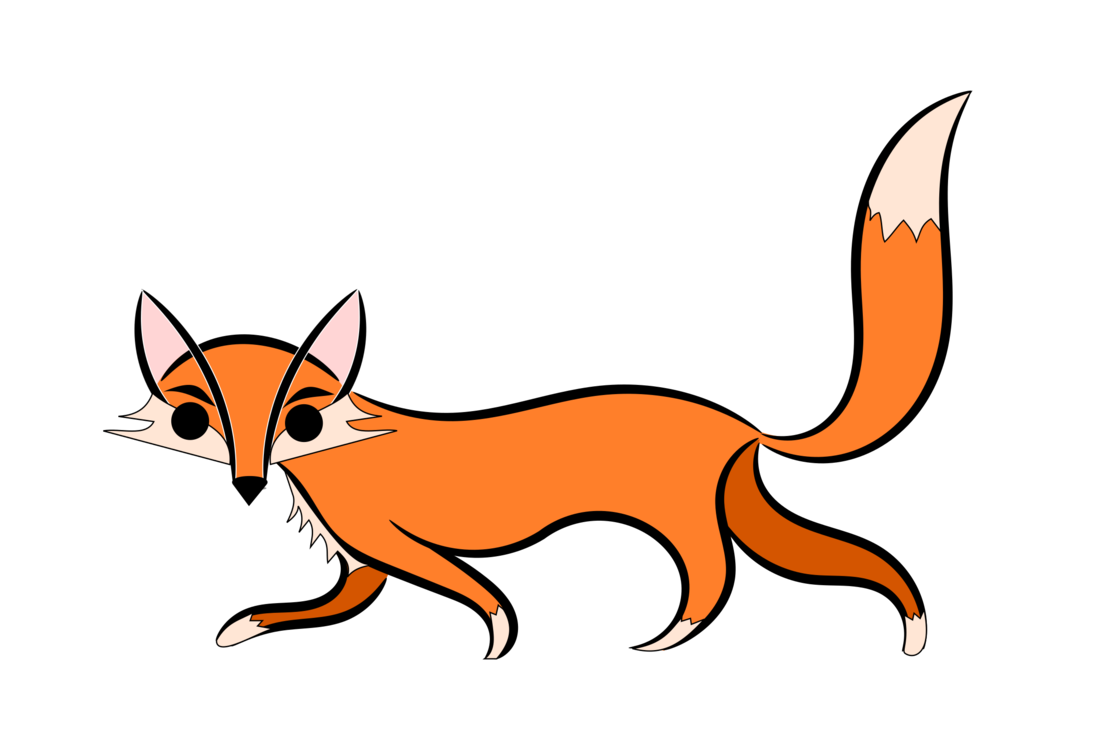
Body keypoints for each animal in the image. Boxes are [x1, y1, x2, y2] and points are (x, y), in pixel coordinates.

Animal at [110, 93, 968, 658]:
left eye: (300, 420)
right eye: (193, 422)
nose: (250, 482)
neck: (339, 450)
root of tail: (742, 427)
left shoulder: (388, 541)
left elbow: (474, 593)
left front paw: (494, 634)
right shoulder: (363, 564)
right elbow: (319, 606)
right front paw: (242, 626)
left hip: (685, 519)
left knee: (716, 576)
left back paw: (668, 636)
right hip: (745, 511)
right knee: (841, 562)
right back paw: (909, 624)